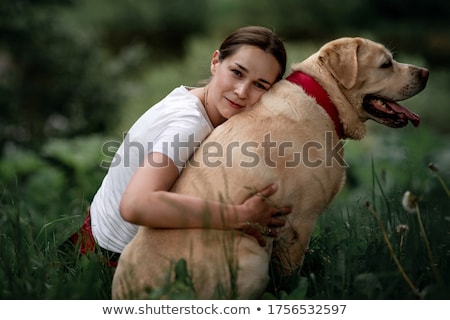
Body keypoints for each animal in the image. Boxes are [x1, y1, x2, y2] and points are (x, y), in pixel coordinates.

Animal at [112, 37, 428, 300]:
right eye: (386, 64)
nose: (425, 73)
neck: (324, 99)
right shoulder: (299, 223)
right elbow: (291, 278)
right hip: (252, 255)